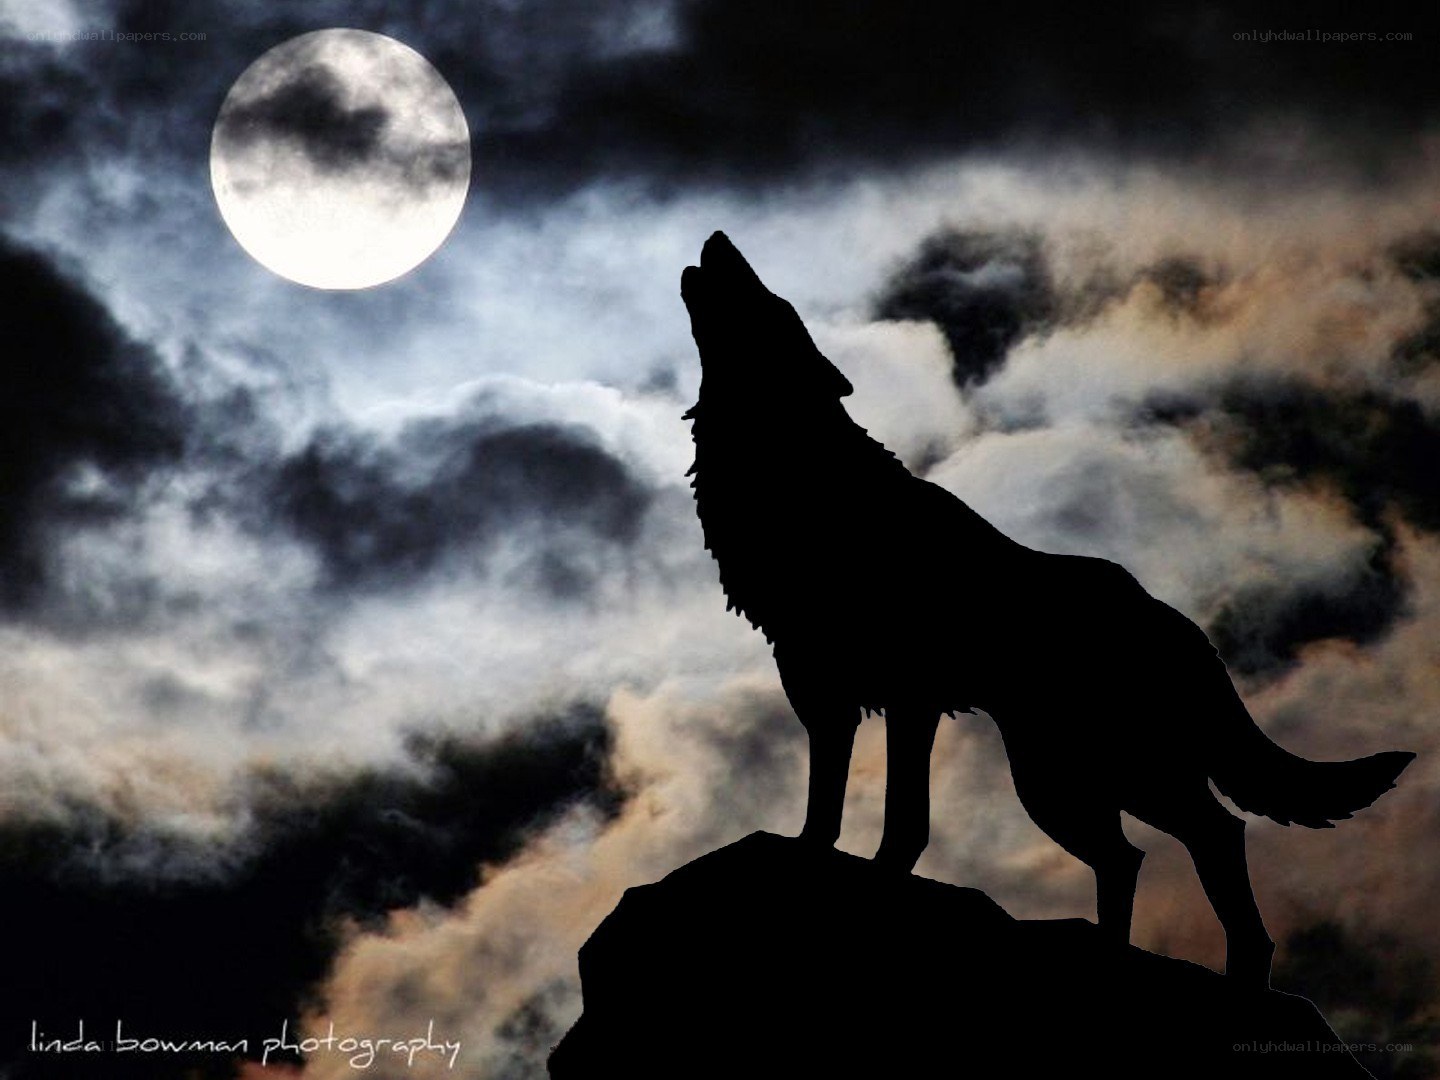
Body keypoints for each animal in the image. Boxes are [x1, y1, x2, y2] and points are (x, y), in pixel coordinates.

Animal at [680, 231, 1414, 987]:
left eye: (773, 305)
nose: (718, 239)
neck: (806, 477)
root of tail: (1185, 628)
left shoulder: (908, 699)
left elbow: (904, 821)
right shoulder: (825, 694)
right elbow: (826, 813)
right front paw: (812, 861)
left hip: (1089, 775)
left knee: (1211, 835)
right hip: (1065, 779)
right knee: (1137, 854)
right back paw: (1112, 955)